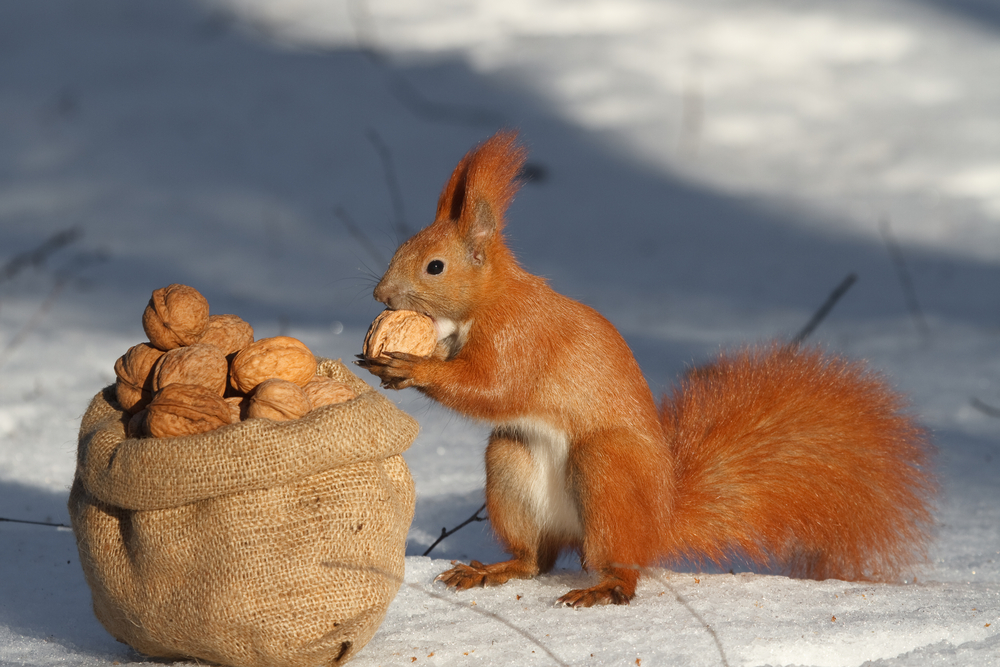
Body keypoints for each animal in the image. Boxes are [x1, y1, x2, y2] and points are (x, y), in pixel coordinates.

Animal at [360, 130, 936, 612]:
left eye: (435, 266)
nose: (380, 295)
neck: (485, 302)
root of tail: (659, 523)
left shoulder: (522, 338)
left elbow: (492, 389)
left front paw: (413, 366)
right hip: (510, 463)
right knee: (536, 560)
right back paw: (493, 571)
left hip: (607, 467)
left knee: (621, 564)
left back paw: (605, 588)